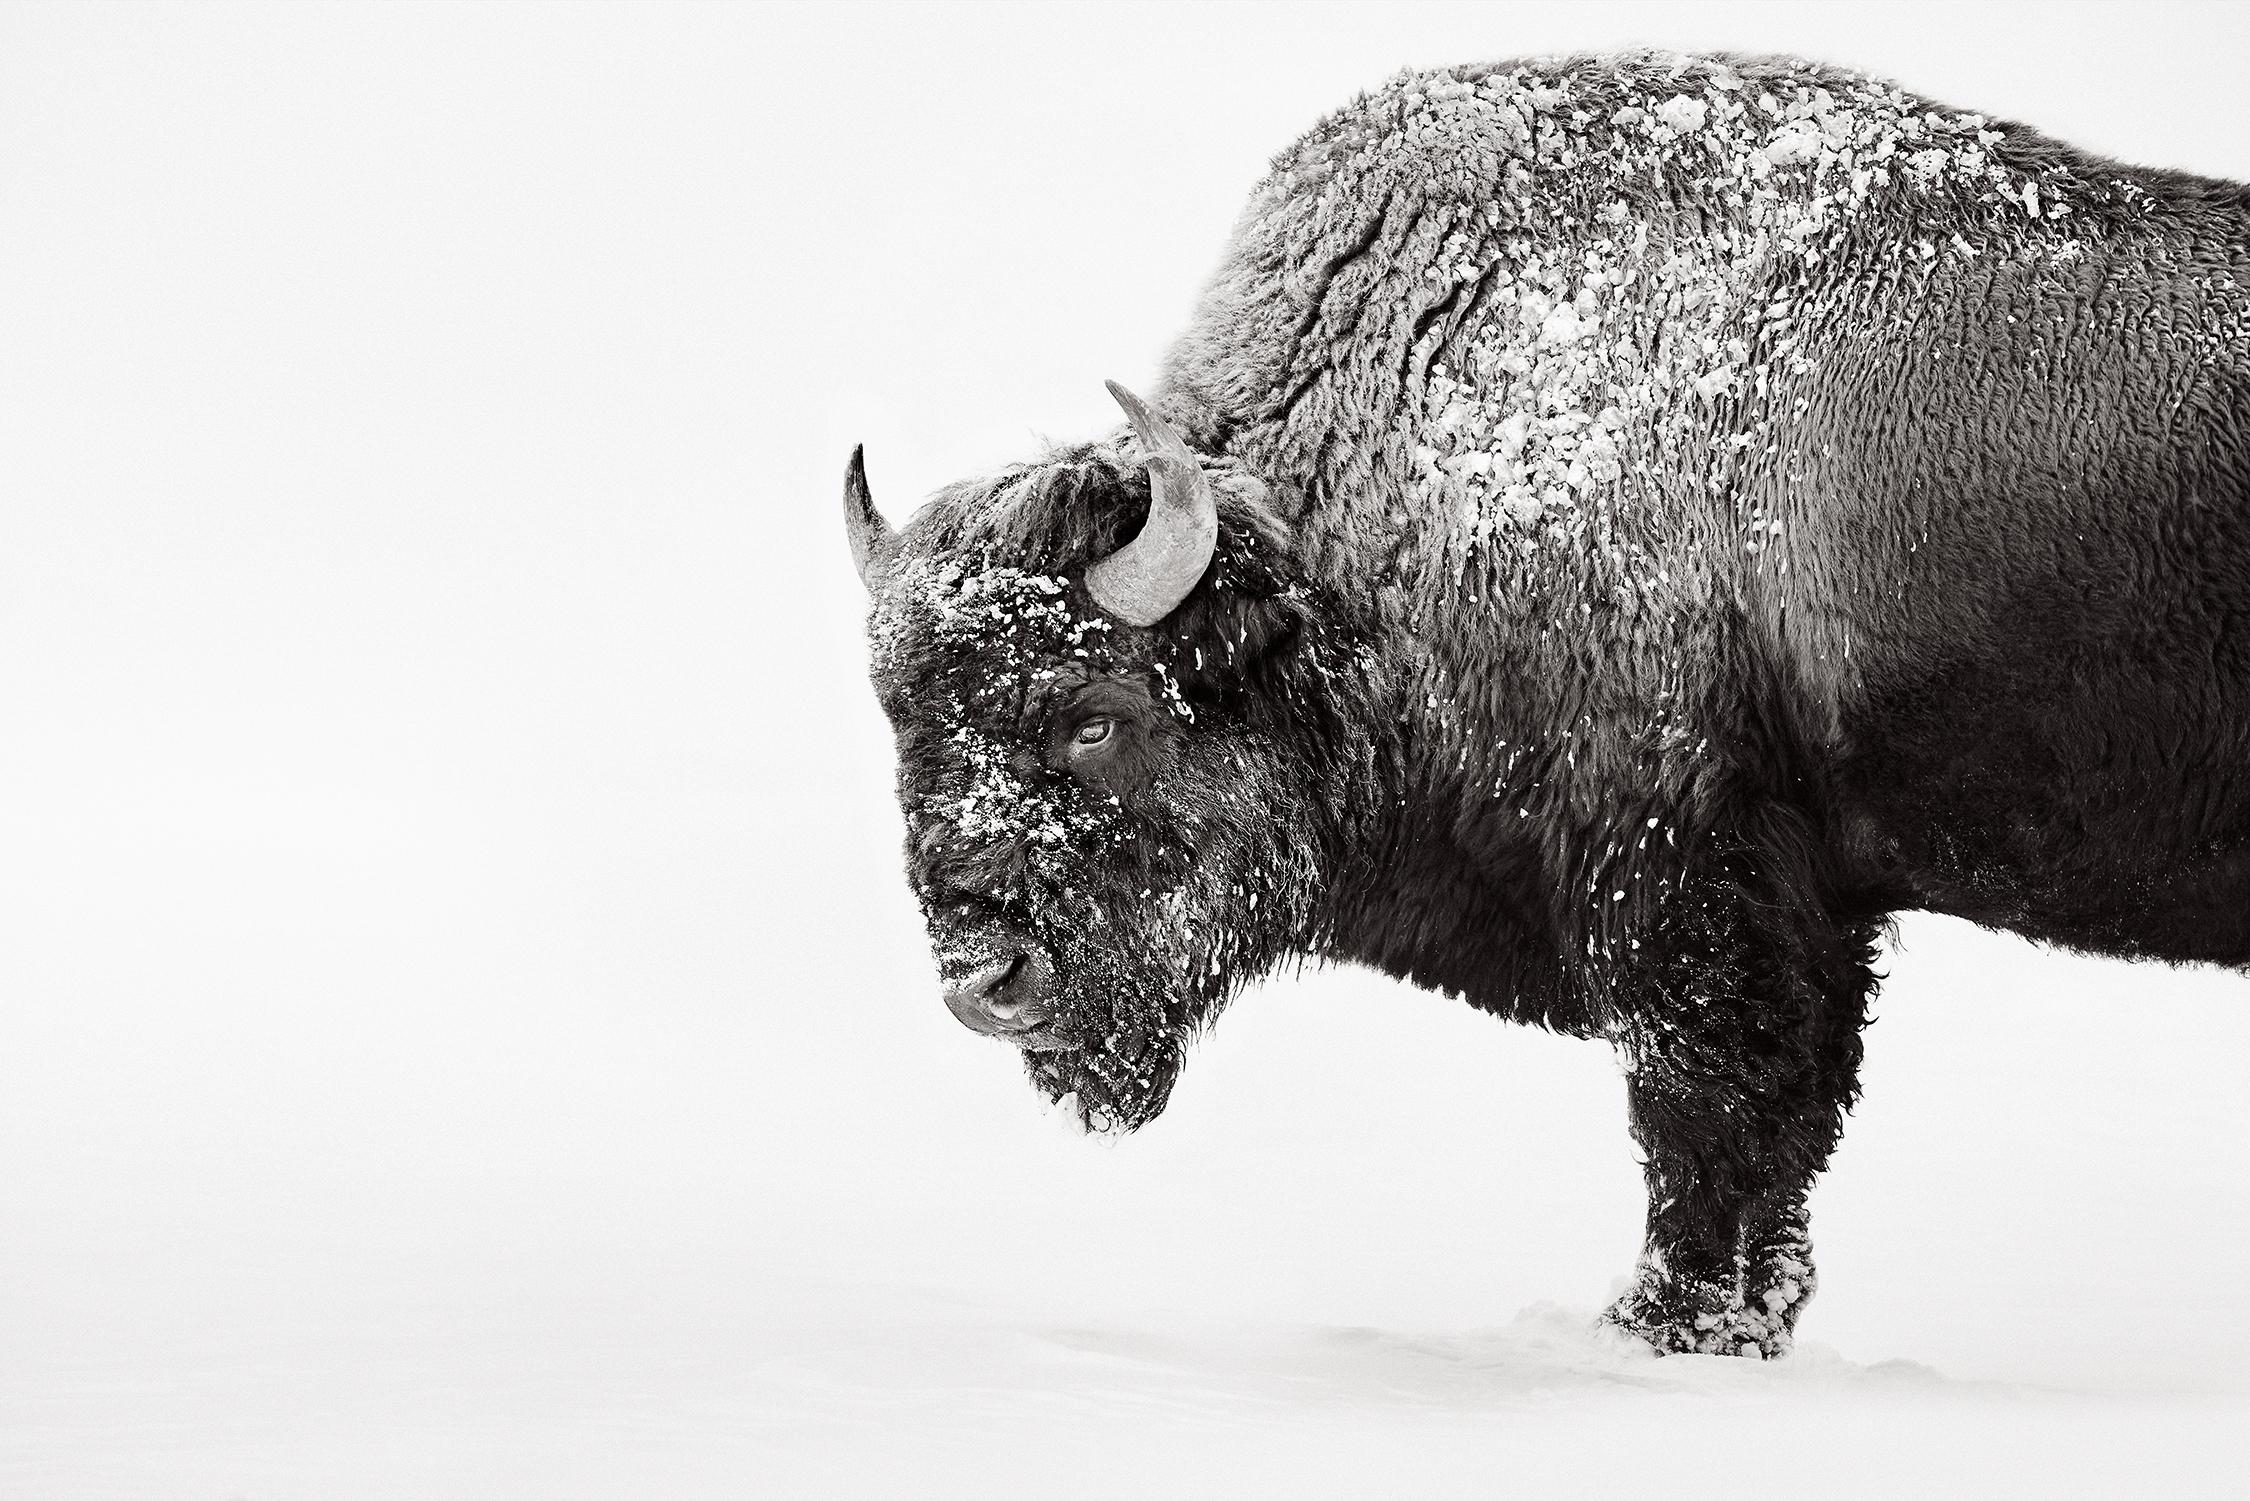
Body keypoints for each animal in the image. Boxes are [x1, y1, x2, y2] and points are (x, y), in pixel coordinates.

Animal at [843, 50, 2250, 1357]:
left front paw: (1658, 1328)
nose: (983, 978)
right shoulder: (1805, 915)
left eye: (1095, 714)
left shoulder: (1686, 895)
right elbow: (1782, 1138)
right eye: (902, 719)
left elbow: (1714, 1124)